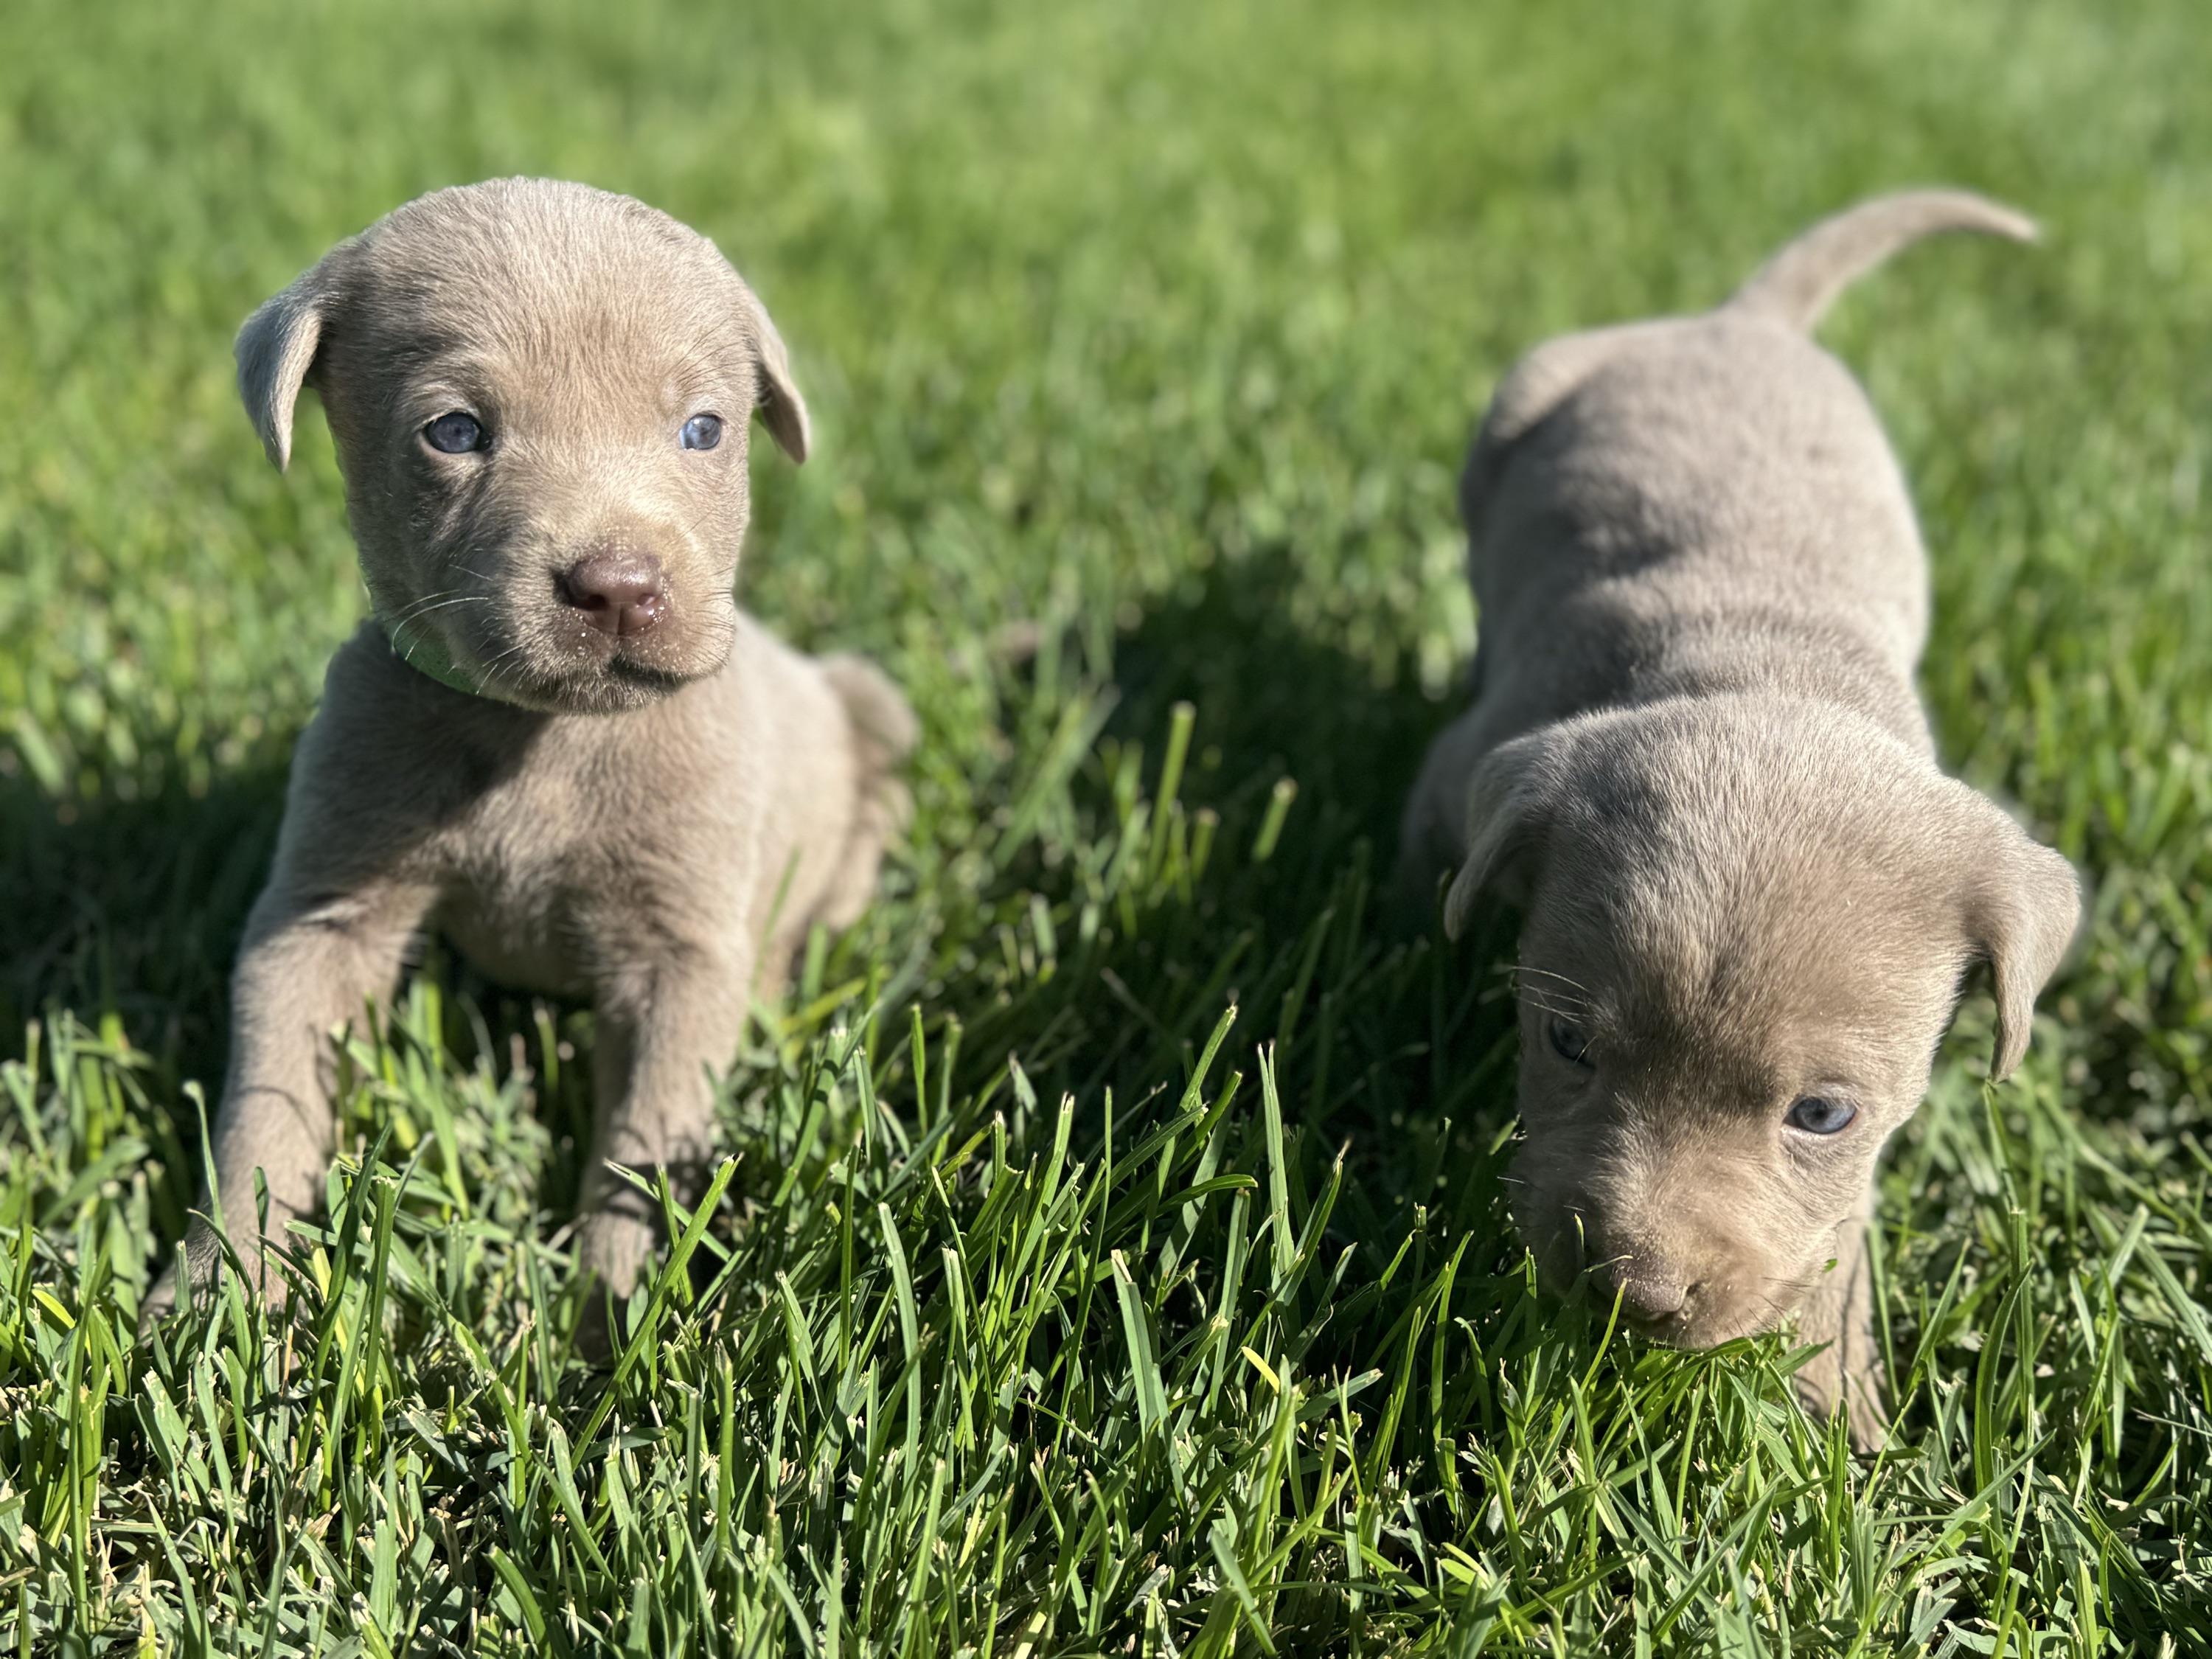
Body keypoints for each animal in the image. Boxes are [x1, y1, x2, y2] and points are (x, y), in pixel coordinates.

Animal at [145, 178, 916, 1331]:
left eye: (703, 429)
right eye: (456, 431)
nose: (620, 584)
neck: (542, 740)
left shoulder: (678, 948)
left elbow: (645, 1150)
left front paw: (616, 1320)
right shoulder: (325, 908)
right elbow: (266, 1105)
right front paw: (215, 1292)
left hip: (869, 721)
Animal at [1399, 192, 2081, 1447]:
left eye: (1822, 1113)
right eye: (1567, 1043)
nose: (1635, 1292)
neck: (1762, 653)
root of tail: (1740, 320)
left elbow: (1830, 1246)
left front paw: (1844, 1421)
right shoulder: (1471, 760)